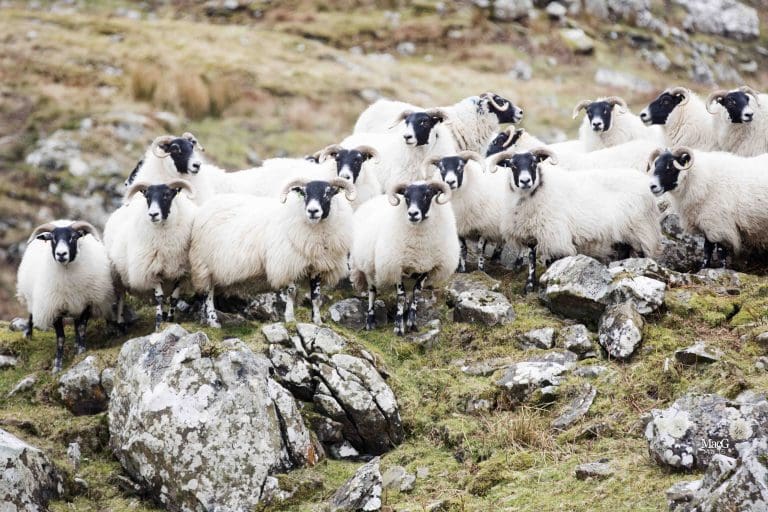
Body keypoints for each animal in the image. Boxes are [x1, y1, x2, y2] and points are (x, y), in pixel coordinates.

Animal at [16, 220, 114, 372]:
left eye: (73, 237)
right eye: (52, 238)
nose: (61, 254)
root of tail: (61, 221)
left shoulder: (87, 302)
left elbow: (81, 329)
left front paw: (80, 351)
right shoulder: (54, 308)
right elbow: (61, 338)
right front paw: (57, 365)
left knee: (76, 325)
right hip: (31, 296)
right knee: (31, 313)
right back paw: (28, 334)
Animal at [104, 179, 197, 332]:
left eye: (167, 195)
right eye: (147, 197)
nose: (153, 214)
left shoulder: (180, 272)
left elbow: (173, 299)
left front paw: (170, 321)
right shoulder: (151, 271)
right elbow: (159, 298)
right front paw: (159, 325)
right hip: (117, 274)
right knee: (121, 297)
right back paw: (121, 323)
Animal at [189, 178, 356, 328]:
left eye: (328, 193)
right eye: (304, 194)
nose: (312, 211)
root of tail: (206, 205)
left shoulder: (317, 267)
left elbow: (316, 297)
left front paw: (317, 321)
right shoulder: (287, 263)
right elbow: (291, 292)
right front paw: (290, 319)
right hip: (204, 264)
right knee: (208, 293)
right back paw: (213, 321)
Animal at [349, 180, 459, 336]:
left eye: (427, 194)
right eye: (406, 197)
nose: (413, 214)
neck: (419, 246)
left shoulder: (426, 267)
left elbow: (416, 294)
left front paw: (412, 322)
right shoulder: (395, 266)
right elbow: (401, 297)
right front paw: (398, 326)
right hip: (368, 267)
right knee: (372, 292)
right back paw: (370, 321)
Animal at [488, 148, 661, 292]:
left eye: (534, 162)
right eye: (512, 165)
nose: (525, 181)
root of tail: (644, 181)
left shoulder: (555, 235)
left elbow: (552, 261)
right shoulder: (533, 234)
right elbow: (531, 259)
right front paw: (529, 286)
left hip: (640, 229)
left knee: (643, 253)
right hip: (623, 234)